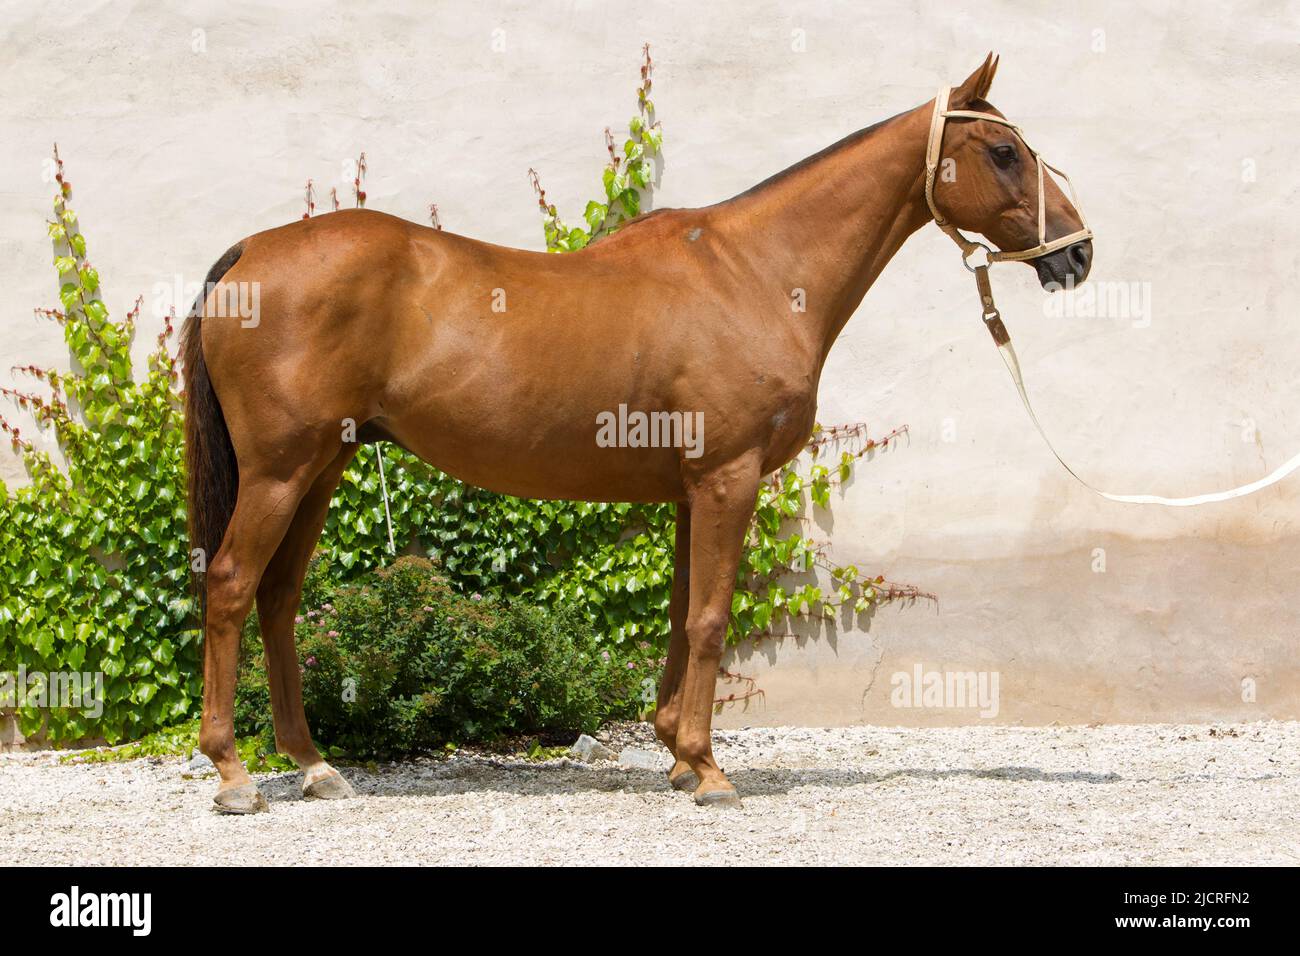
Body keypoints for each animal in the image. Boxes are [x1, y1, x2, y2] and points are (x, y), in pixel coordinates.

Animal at [182, 53, 1092, 813]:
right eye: (1004, 150)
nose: (1078, 255)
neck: (755, 273)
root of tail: (248, 256)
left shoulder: (695, 489)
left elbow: (685, 613)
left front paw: (680, 757)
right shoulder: (728, 477)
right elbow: (712, 618)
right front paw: (711, 772)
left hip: (322, 467)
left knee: (278, 597)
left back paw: (314, 766)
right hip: (281, 470)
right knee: (230, 585)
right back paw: (234, 775)